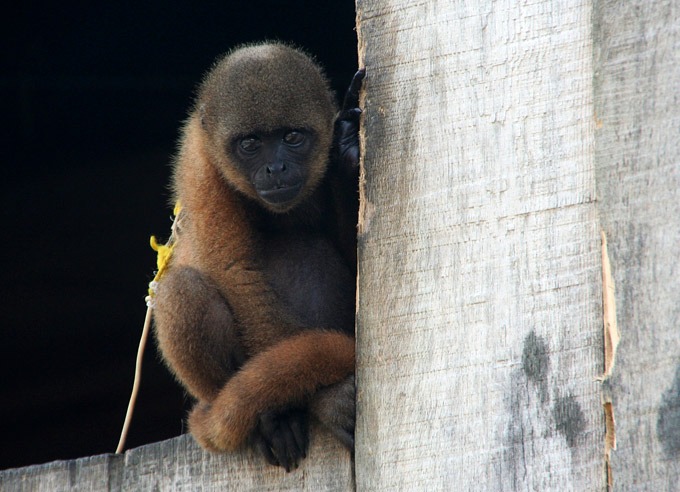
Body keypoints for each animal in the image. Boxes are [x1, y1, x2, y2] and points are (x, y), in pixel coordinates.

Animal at [151, 41, 364, 468]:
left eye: (293, 137)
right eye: (250, 144)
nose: (276, 167)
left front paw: (348, 148)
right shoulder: (201, 166)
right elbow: (236, 272)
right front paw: (319, 403)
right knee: (182, 289)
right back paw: (268, 419)